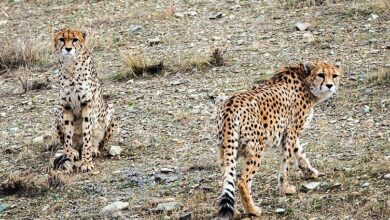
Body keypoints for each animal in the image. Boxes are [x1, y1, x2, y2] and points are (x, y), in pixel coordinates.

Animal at [51, 28, 116, 174]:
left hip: (110, 109)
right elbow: (68, 137)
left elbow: (87, 134)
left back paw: (94, 149)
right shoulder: (66, 106)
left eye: (75, 39)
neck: (71, 67)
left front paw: (86, 162)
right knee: (66, 142)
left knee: (98, 142)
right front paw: (69, 157)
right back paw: (73, 151)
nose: (68, 49)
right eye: (62, 39)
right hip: (58, 110)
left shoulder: (87, 104)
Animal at [216, 60, 342, 218]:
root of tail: (229, 105)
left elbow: (299, 151)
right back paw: (252, 210)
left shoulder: (288, 132)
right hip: (256, 148)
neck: (305, 80)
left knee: (228, 178)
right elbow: (286, 162)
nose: (330, 85)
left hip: (226, 150)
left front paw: (309, 171)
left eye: (335, 75)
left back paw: (234, 212)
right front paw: (285, 188)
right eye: (321, 75)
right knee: (242, 181)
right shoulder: (291, 130)